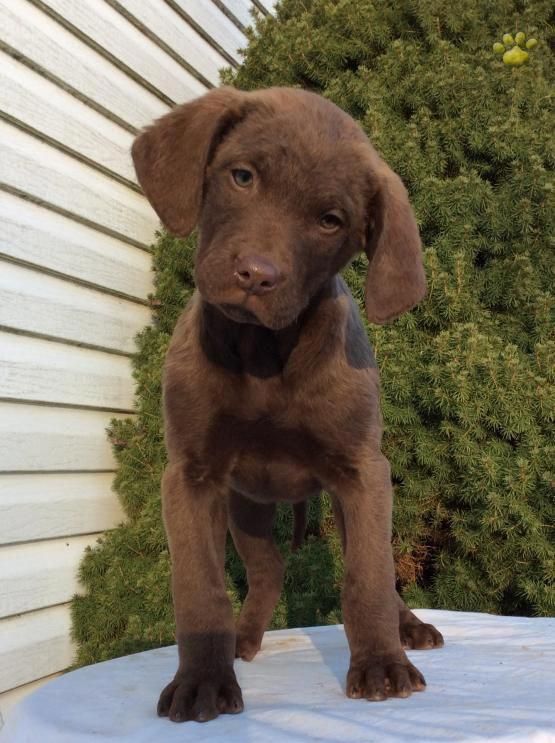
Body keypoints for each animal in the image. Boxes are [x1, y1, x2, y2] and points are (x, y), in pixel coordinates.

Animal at [132, 85, 446, 720]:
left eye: (330, 221)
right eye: (242, 176)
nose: (256, 275)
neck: (265, 353)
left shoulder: (363, 473)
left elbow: (368, 577)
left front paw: (382, 663)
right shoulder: (190, 476)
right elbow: (200, 589)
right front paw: (203, 680)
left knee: (373, 569)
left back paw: (408, 628)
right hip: (246, 506)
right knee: (269, 570)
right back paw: (244, 637)